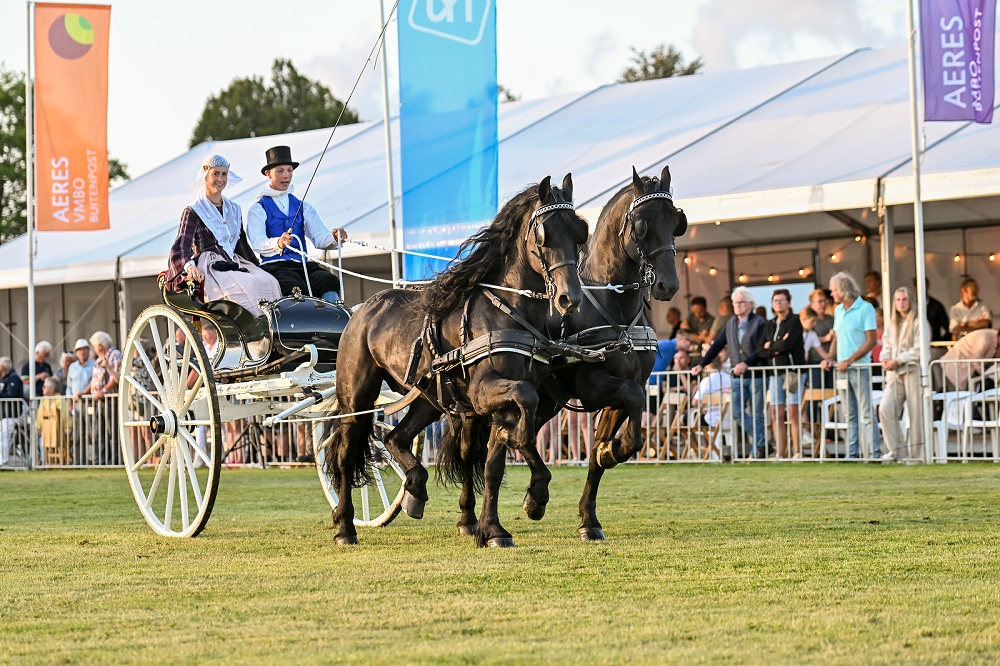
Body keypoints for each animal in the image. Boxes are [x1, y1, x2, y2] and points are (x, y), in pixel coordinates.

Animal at [325, 175, 590, 547]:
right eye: (544, 234)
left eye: (580, 231)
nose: (570, 298)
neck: (509, 309)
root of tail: (363, 308)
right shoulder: (485, 392)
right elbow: (524, 409)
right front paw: (528, 482)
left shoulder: (495, 402)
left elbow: (492, 463)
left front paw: (493, 524)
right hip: (356, 399)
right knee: (347, 454)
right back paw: (346, 526)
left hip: (428, 398)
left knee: (397, 439)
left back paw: (416, 490)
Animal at [442, 166, 687, 541]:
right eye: (642, 224)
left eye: (675, 221)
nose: (667, 285)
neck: (612, 306)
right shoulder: (592, 384)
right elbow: (630, 401)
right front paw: (610, 453)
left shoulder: (622, 392)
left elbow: (612, 441)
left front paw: (590, 515)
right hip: (475, 407)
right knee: (471, 452)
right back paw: (471, 518)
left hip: (546, 403)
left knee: (511, 438)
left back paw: (526, 498)